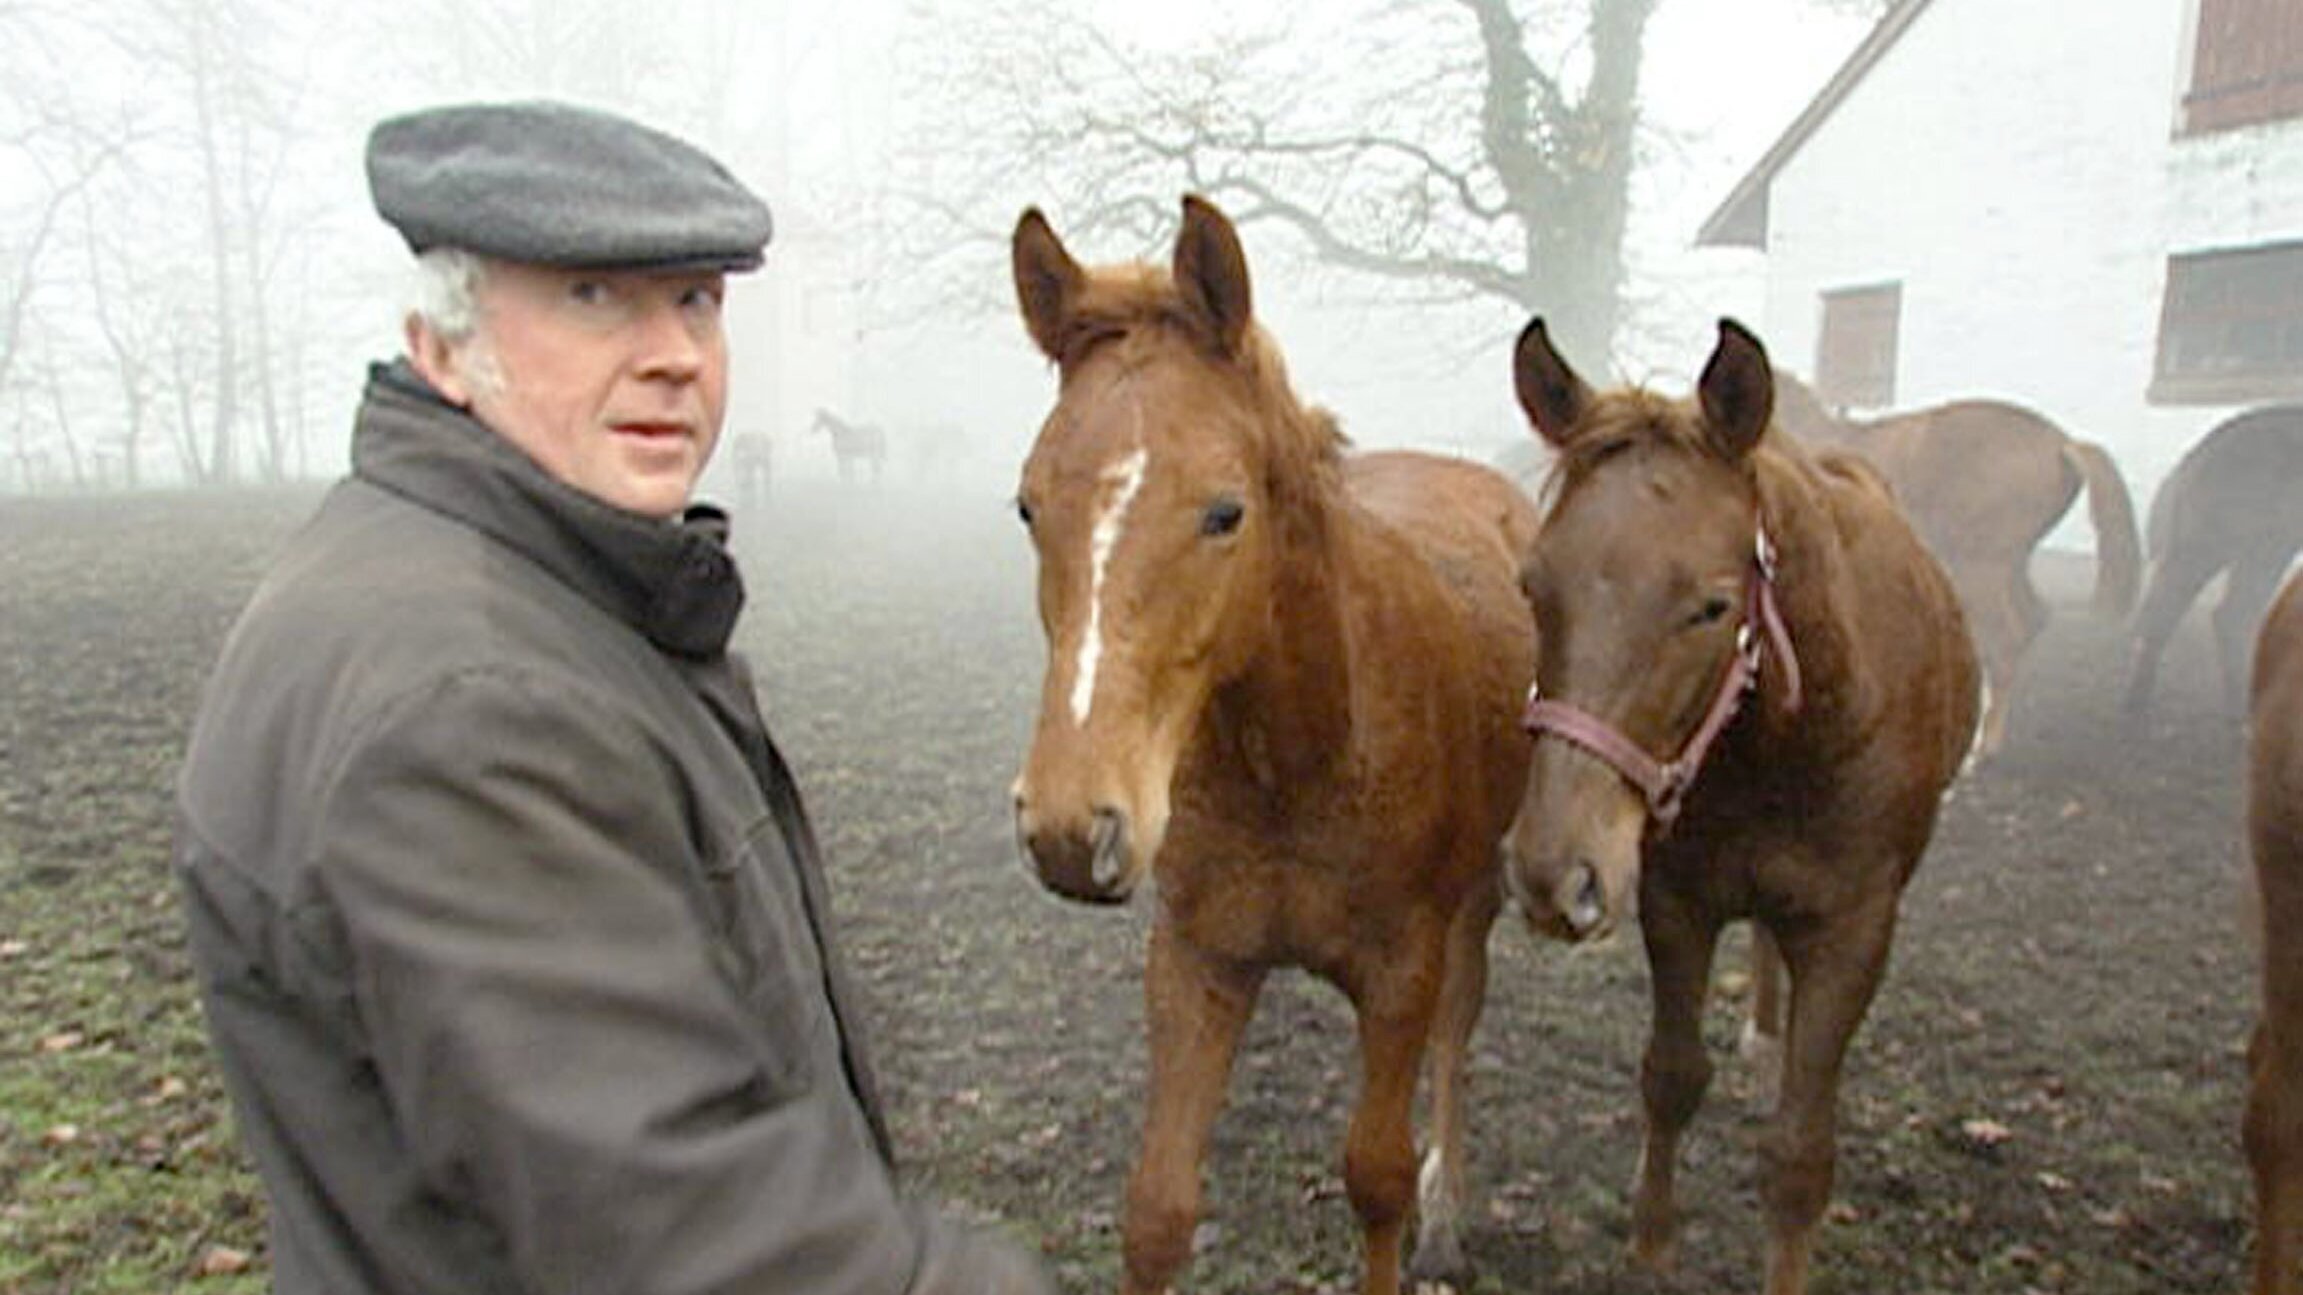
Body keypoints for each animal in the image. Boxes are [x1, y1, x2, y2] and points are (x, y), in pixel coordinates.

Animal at [1013, 193, 1538, 1290]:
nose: (1072, 828)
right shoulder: (1197, 959)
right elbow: (1157, 1207)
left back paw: (1447, 1215)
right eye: (1028, 503)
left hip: (1472, 898)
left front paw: (1414, 1209)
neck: (1302, 757)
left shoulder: (1399, 969)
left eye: (1225, 511)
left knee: (1457, 1026)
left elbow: (1375, 1177)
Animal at [1510, 315, 1980, 1290]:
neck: (1788, 743)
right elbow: (1670, 1076)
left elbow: (1798, 1157)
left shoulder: (1851, 929)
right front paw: (1652, 1243)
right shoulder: (1675, 899)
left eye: (1711, 605)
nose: (1552, 874)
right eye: (1531, 585)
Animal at [1777, 373, 2137, 755]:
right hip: (2007, 565)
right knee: (2034, 617)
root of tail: (2062, 444)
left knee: (2008, 639)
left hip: (1983, 567)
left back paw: (1983, 746)